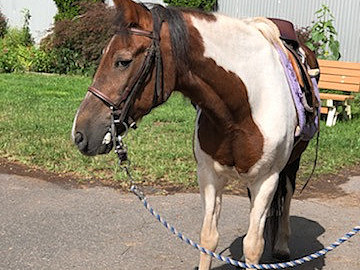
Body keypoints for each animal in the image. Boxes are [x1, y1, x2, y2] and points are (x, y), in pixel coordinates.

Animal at [72, 1, 318, 268]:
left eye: (123, 61)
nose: (80, 134)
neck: (241, 111)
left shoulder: (266, 179)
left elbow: (253, 245)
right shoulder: (209, 175)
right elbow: (209, 238)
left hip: (292, 162)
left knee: (287, 194)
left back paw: (282, 245)